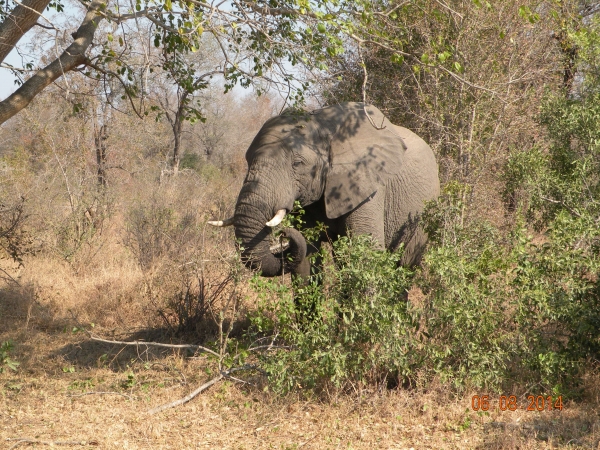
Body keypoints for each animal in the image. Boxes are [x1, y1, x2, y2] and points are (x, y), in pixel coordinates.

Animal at [211, 102, 440, 278]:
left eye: (297, 163)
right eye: (248, 161)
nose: (285, 233)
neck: (322, 125)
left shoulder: (369, 185)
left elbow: (365, 250)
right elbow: (306, 261)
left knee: (406, 264)